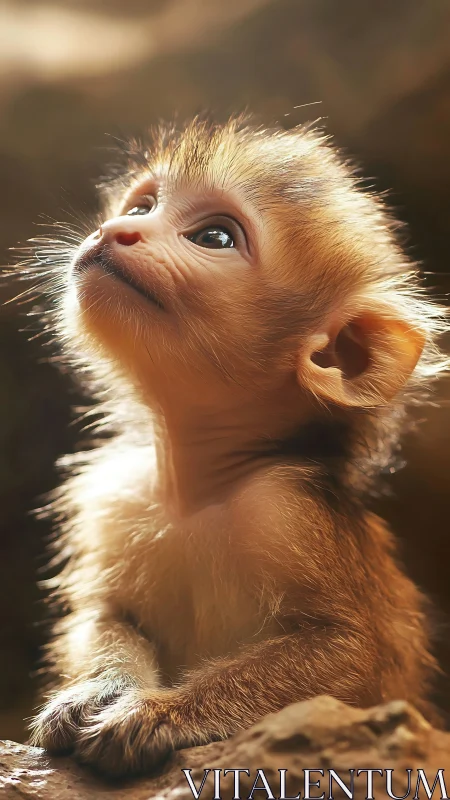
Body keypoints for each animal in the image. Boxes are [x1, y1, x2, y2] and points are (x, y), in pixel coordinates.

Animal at [21, 115, 448, 778]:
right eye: (143, 207)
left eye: (215, 236)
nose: (118, 230)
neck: (203, 483)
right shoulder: (116, 496)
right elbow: (106, 613)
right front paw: (101, 689)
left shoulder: (288, 509)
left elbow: (354, 654)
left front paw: (159, 714)